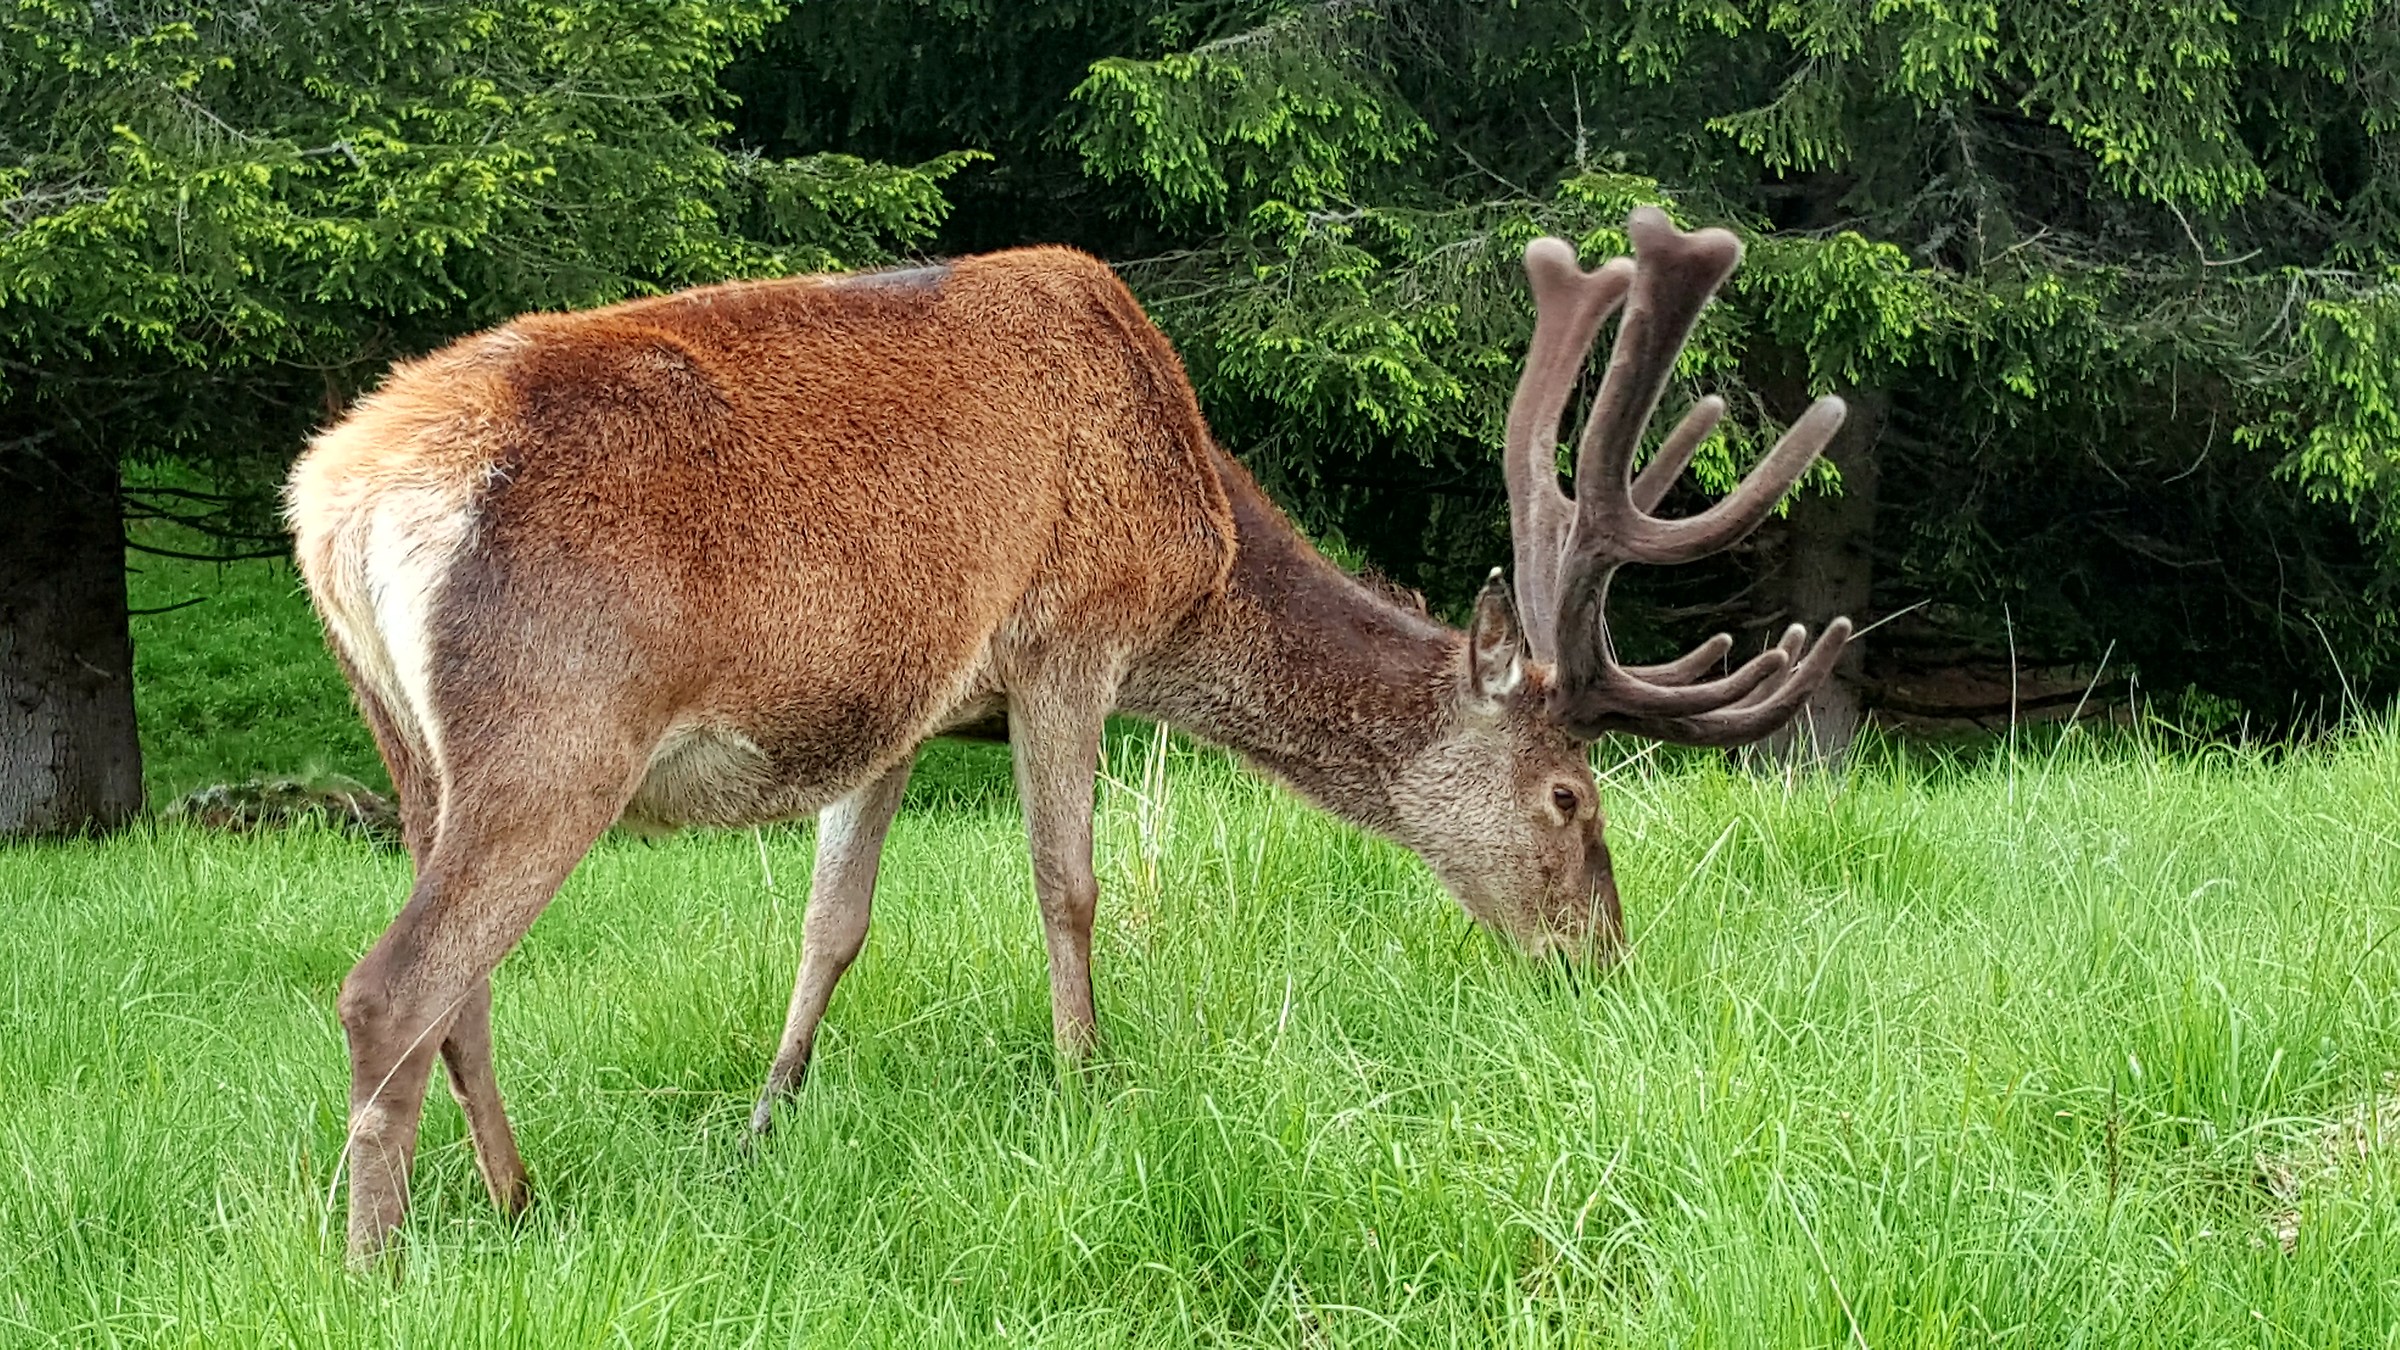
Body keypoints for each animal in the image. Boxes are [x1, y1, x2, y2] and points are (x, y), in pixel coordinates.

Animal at [285, 205, 1850, 1262]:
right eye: (1574, 796)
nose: (1603, 960)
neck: (1194, 546)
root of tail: (335, 499)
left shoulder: (898, 707)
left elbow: (833, 923)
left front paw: (765, 1120)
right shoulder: (1068, 634)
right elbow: (1069, 885)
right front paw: (1092, 1087)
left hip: (408, 743)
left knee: (459, 987)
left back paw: (515, 1199)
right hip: (559, 723)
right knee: (389, 986)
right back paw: (375, 1262)